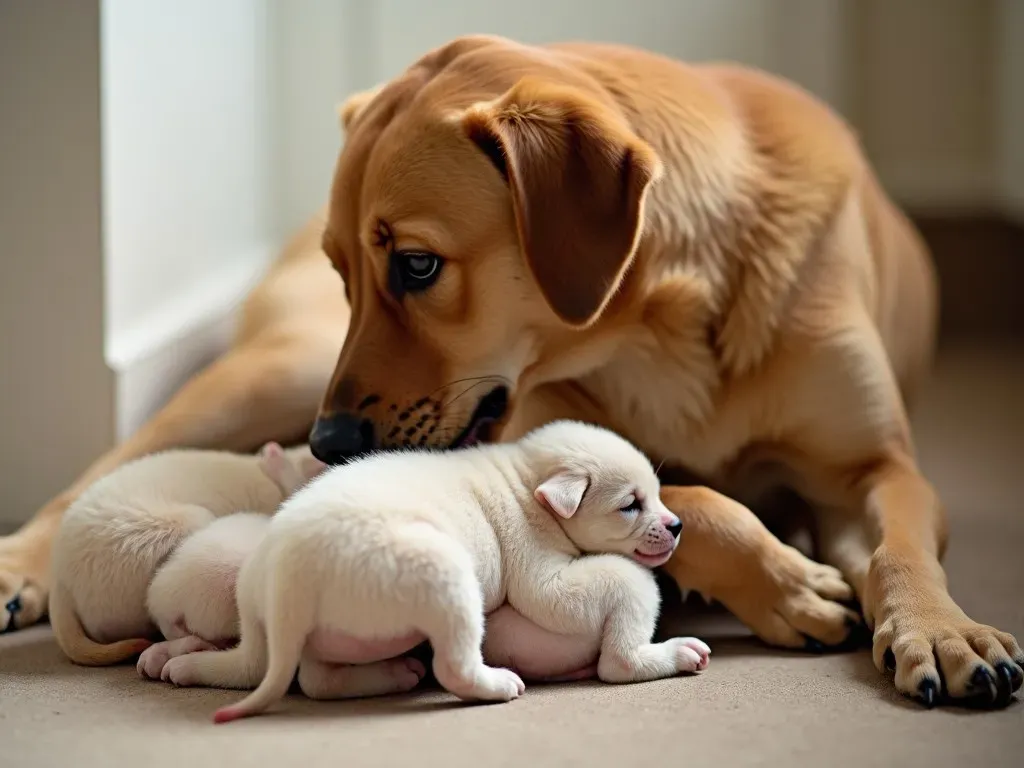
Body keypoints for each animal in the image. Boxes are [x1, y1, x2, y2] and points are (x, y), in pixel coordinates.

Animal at [155, 421, 712, 720]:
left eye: (657, 495)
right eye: (630, 505)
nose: (677, 525)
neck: (526, 477)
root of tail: (285, 584)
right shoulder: (537, 562)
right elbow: (598, 585)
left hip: (302, 622)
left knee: (303, 676)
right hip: (440, 575)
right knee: (455, 667)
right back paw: (495, 684)